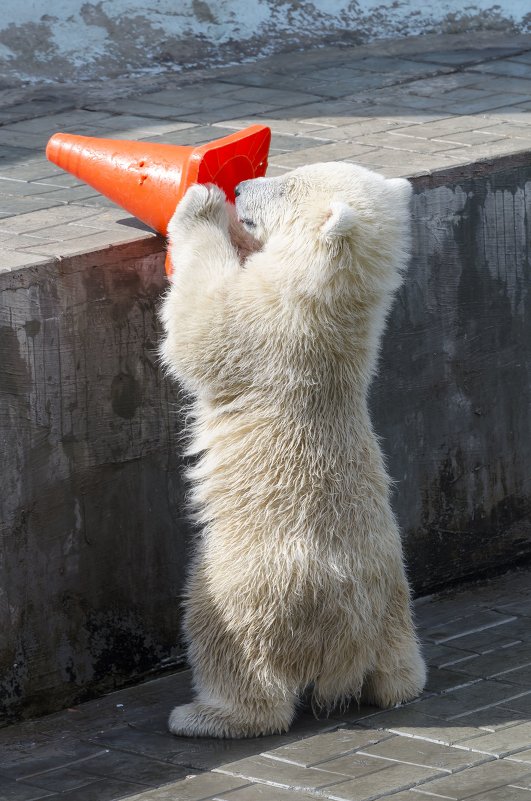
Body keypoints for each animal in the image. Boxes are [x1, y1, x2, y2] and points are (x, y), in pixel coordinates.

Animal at [159, 162, 428, 736]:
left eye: (283, 184)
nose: (240, 188)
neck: (321, 302)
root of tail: (342, 647)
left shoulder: (263, 325)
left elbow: (197, 328)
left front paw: (201, 203)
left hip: (249, 586)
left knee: (226, 641)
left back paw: (202, 715)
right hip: (395, 597)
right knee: (398, 667)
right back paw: (398, 682)